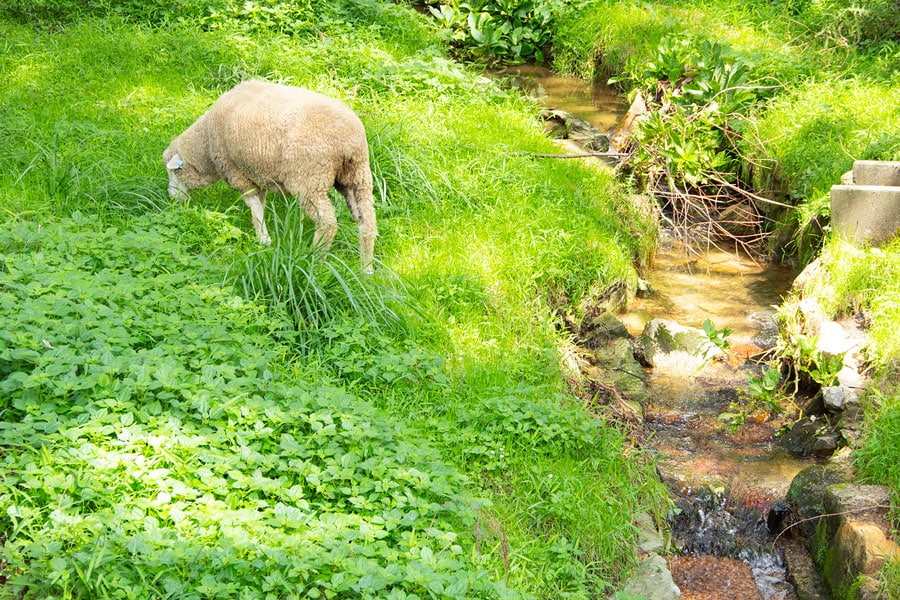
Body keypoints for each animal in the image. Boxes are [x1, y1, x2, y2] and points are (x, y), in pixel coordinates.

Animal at [163, 79, 378, 274]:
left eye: (173, 171)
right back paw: (366, 269)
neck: (206, 146)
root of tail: (349, 139)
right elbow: (261, 204)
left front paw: (263, 239)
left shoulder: (236, 172)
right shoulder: (258, 173)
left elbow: (254, 205)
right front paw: (260, 229)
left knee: (327, 222)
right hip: (357, 176)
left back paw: (316, 259)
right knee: (367, 221)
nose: (172, 198)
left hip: (308, 179)